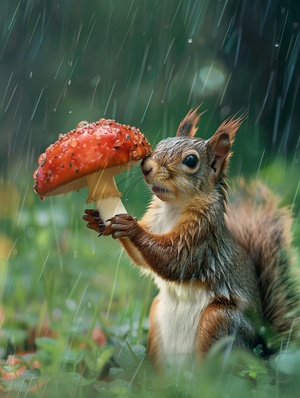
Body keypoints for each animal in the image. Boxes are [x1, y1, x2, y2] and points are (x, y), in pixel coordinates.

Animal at [83, 106, 298, 366]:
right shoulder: (155, 222)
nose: (146, 166)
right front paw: (99, 220)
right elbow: (143, 259)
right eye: (159, 144)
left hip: (221, 321)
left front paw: (131, 227)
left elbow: (175, 259)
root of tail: (262, 347)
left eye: (191, 160)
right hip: (156, 317)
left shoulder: (201, 236)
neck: (174, 207)